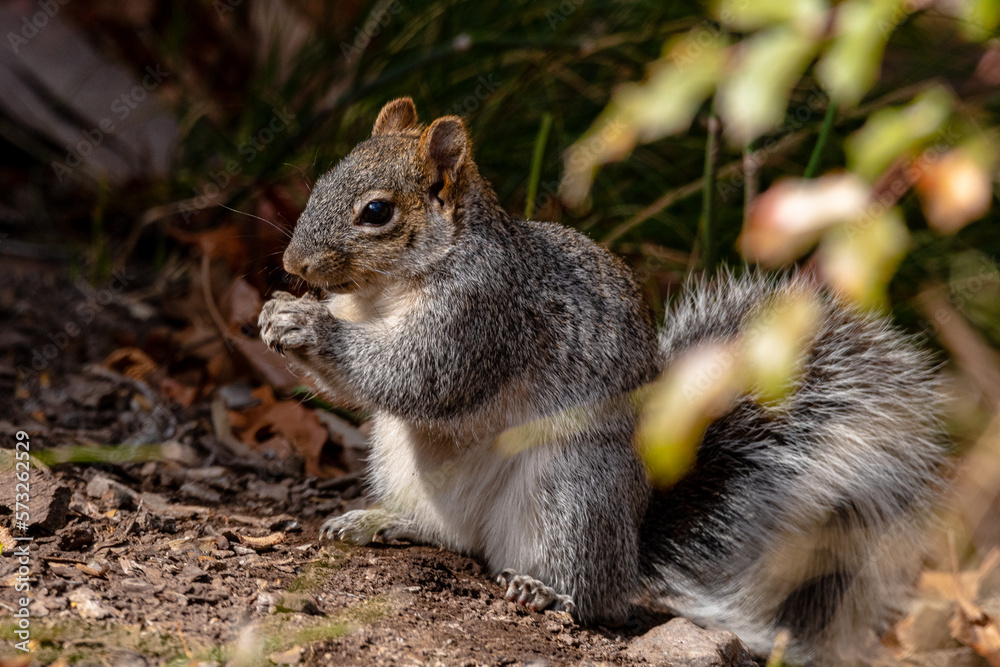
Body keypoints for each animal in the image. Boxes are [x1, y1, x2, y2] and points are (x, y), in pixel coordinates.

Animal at [258, 98, 944, 664]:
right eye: (322, 181)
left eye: (376, 212)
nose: (293, 263)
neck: (387, 292)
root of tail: (631, 558)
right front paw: (275, 313)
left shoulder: (484, 314)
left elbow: (420, 378)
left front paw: (308, 323)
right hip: (402, 462)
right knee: (453, 538)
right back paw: (384, 523)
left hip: (570, 492)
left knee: (590, 597)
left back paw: (543, 591)